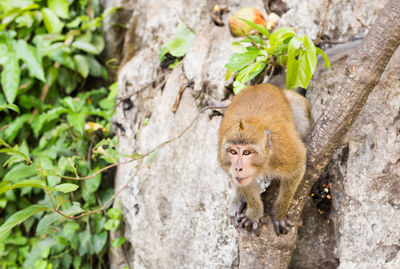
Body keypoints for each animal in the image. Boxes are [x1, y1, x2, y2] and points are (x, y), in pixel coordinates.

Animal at [217, 82, 310, 233]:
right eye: (233, 152)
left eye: (247, 152)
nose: (238, 168)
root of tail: (259, 85)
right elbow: (245, 183)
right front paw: (254, 213)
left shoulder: (285, 153)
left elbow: (297, 169)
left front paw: (279, 213)